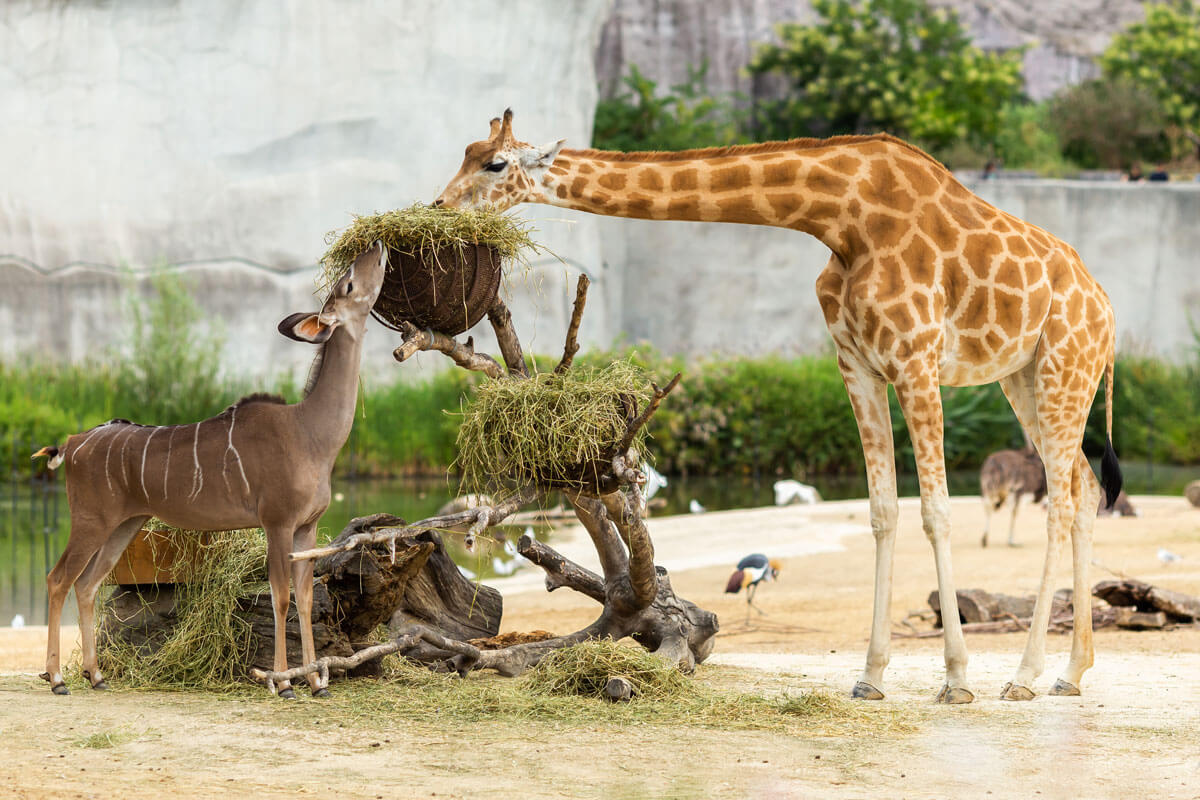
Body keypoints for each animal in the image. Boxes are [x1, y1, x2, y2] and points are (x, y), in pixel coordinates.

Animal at [35, 241, 386, 695]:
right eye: (348, 284)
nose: (377, 247)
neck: (310, 431)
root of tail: (72, 444)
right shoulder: (277, 522)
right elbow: (281, 596)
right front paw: (283, 683)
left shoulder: (306, 528)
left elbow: (307, 598)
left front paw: (316, 682)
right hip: (90, 521)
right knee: (58, 578)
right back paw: (58, 677)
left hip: (123, 525)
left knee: (87, 583)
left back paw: (95, 675)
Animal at [434, 109, 1123, 705]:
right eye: (465, 152)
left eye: (495, 163)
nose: (439, 207)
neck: (840, 217)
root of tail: (1107, 309)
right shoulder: (857, 364)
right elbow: (882, 512)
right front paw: (871, 676)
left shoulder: (916, 360)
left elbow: (937, 511)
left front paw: (956, 680)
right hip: (1024, 378)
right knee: (1085, 489)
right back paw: (1071, 672)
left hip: (1064, 366)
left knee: (1061, 501)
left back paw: (1026, 676)